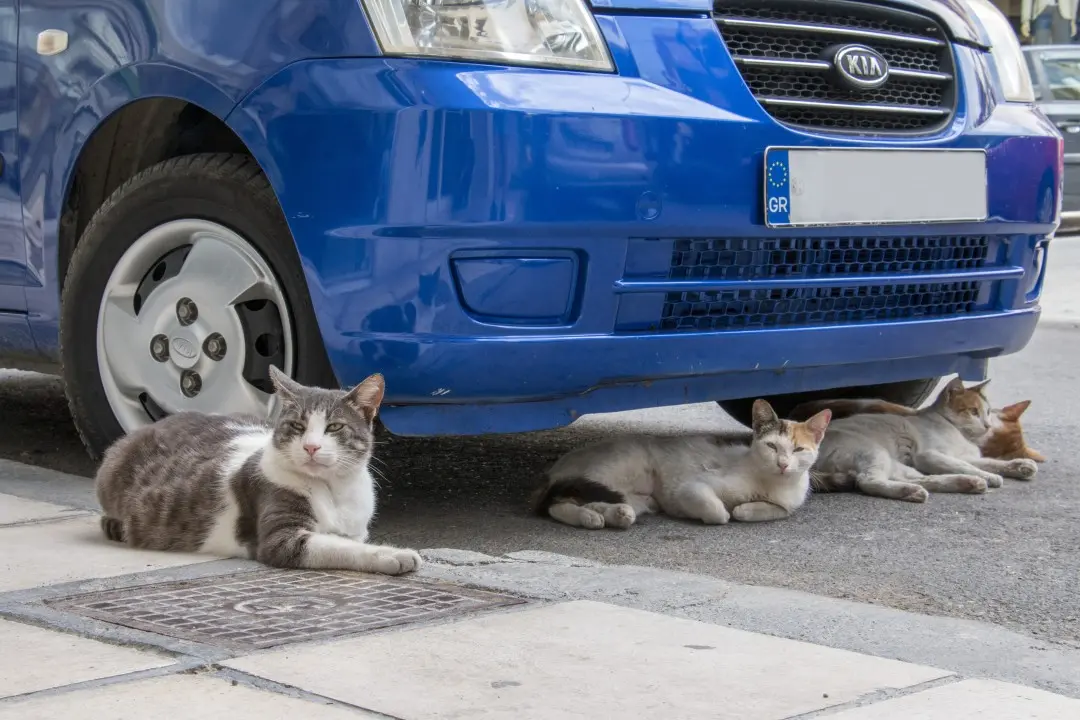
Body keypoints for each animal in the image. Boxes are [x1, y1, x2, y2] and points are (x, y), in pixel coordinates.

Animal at [96, 367, 421, 574]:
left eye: (335, 427)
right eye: (297, 426)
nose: (311, 447)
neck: (333, 489)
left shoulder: (357, 528)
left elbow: (348, 540)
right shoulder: (281, 538)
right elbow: (340, 546)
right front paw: (394, 554)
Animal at [535, 399, 829, 528]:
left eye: (799, 449)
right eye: (772, 447)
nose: (783, 464)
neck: (770, 482)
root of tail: (553, 470)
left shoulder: (786, 506)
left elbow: (768, 511)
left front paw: (745, 509)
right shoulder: (691, 487)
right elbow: (717, 511)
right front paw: (715, 513)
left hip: (634, 497)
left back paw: (613, 515)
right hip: (612, 473)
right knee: (554, 505)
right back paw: (588, 517)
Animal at [812, 375, 1032, 505]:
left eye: (987, 412)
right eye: (973, 412)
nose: (987, 425)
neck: (959, 433)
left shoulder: (963, 456)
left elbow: (988, 463)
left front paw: (1019, 465)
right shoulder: (929, 455)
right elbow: (968, 465)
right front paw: (990, 476)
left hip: (894, 463)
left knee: (923, 479)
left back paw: (966, 483)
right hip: (874, 452)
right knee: (868, 481)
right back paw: (910, 491)